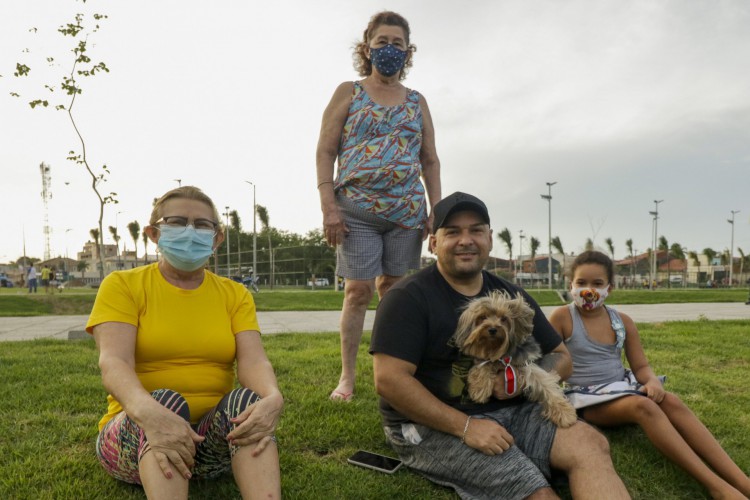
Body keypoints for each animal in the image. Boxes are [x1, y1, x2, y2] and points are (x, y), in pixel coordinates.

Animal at [456, 292, 580, 428]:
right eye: (482, 317)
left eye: (504, 318)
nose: (492, 329)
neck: (500, 352)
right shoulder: (486, 359)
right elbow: (484, 365)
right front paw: (479, 388)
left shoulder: (527, 364)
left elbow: (546, 384)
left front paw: (564, 413)